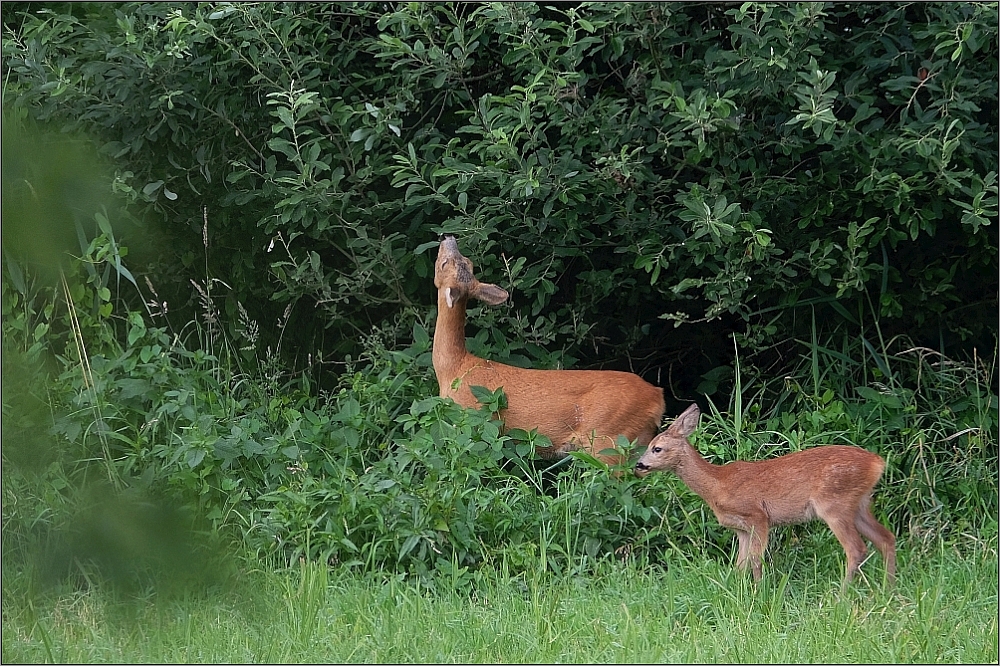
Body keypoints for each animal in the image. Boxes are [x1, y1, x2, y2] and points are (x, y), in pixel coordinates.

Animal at [430, 236, 664, 464]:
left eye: (445, 263)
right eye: (466, 262)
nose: (448, 237)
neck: (454, 367)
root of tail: (657, 397)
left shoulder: (469, 420)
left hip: (609, 442)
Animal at [636, 402, 904, 584]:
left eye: (657, 448)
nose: (638, 465)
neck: (717, 485)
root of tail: (877, 463)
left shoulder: (758, 516)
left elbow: (756, 559)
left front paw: (760, 591)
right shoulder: (741, 528)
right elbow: (740, 564)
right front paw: (738, 591)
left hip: (834, 503)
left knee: (856, 549)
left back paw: (842, 597)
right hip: (859, 504)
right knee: (886, 538)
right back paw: (888, 589)